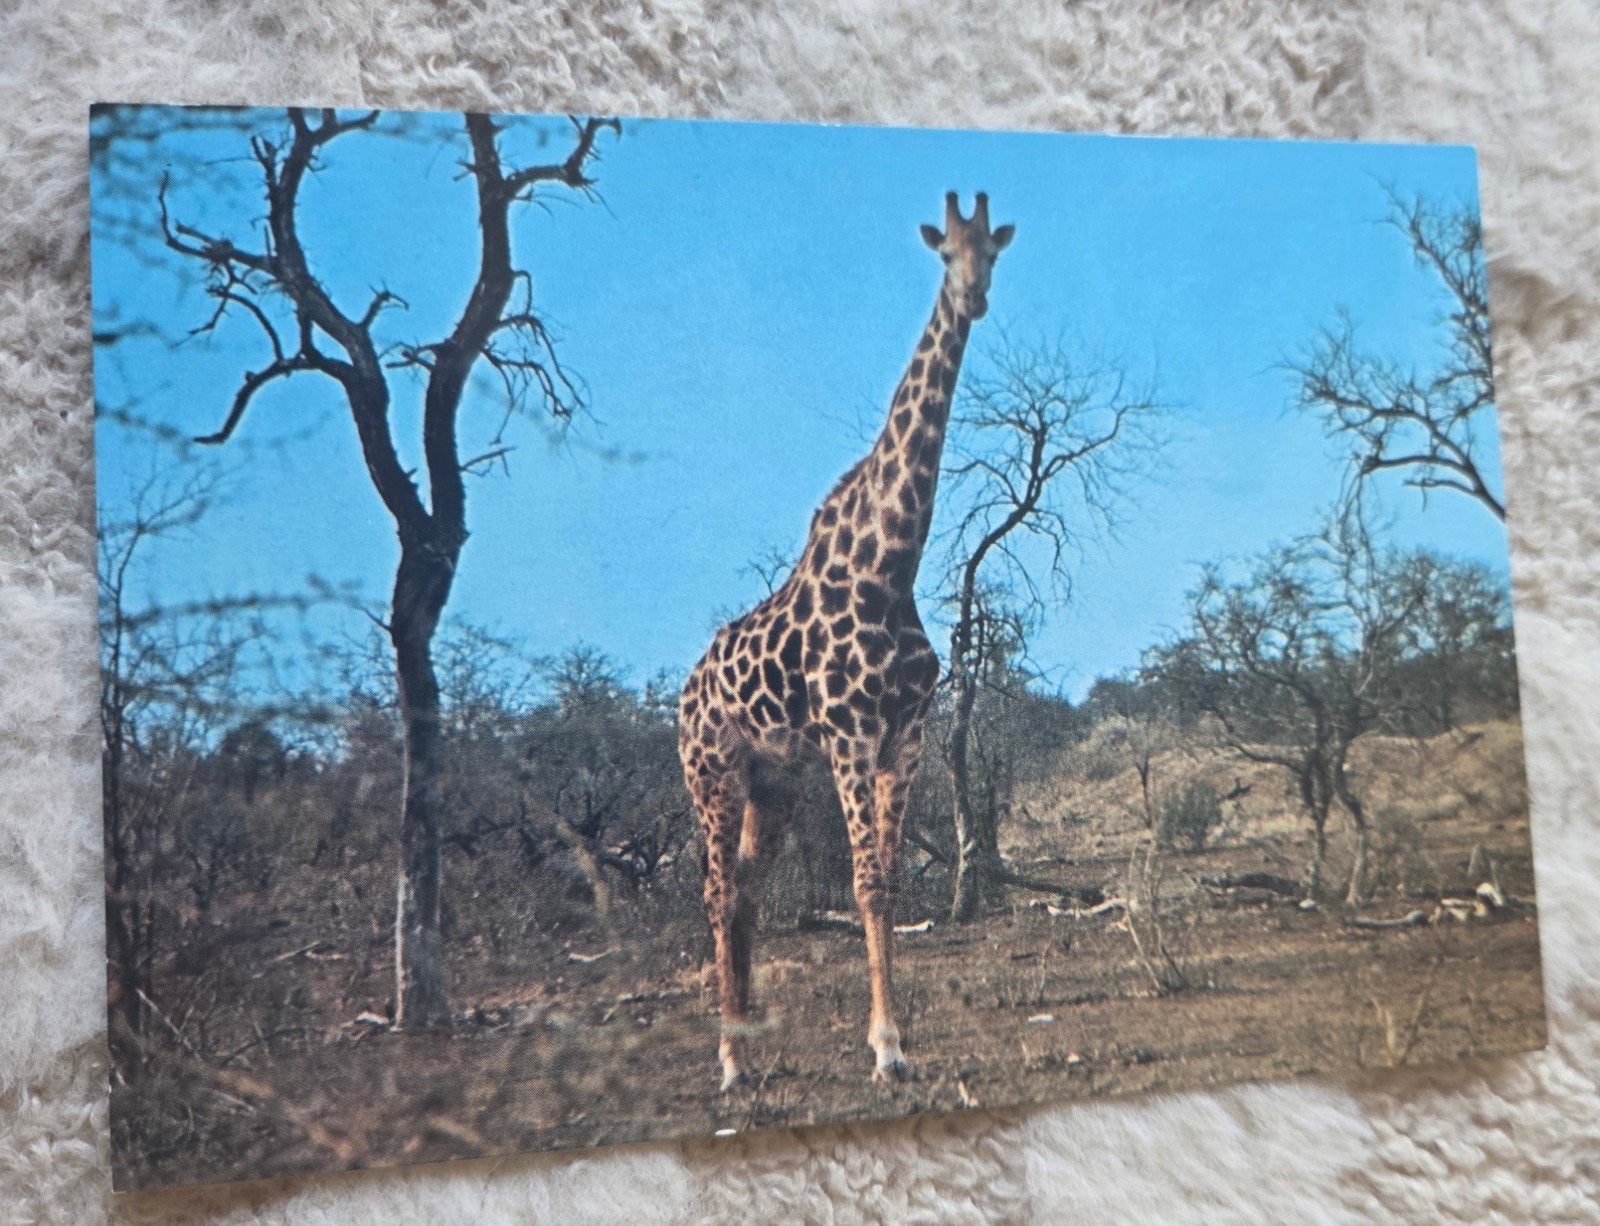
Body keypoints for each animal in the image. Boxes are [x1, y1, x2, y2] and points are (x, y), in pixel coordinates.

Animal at [678, 192, 1014, 1089]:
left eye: (994, 252)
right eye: (945, 254)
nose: (975, 298)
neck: (891, 562)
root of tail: (681, 695)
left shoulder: (907, 734)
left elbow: (889, 882)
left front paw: (896, 1041)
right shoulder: (851, 733)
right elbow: (863, 883)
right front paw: (887, 1048)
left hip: (774, 785)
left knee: (746, 892)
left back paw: (748, 1042)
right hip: (712, 776)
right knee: (716, 892)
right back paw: (728, 1060)